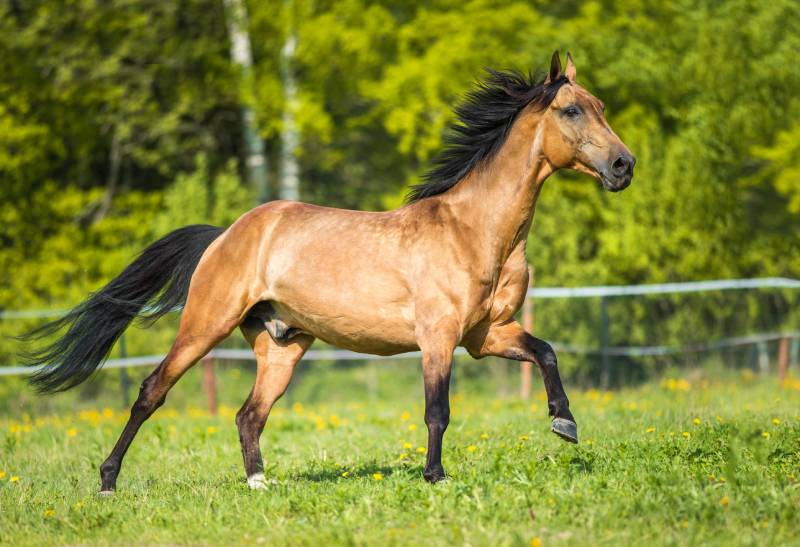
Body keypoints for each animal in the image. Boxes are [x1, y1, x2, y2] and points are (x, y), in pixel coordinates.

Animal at [23, 51, 635, 492]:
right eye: (572, 110)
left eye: (601, 104)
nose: (623, 166)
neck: (473, 231)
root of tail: (226, 234)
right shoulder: (437, 338)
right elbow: (437, 410)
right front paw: (436, 478)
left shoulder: (486, 336)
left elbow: (546, 351)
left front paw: (564, 423)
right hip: (204, 325)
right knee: (153, 392)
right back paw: (107, 481)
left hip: (283, 347)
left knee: (249, 414)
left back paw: (259, 484)